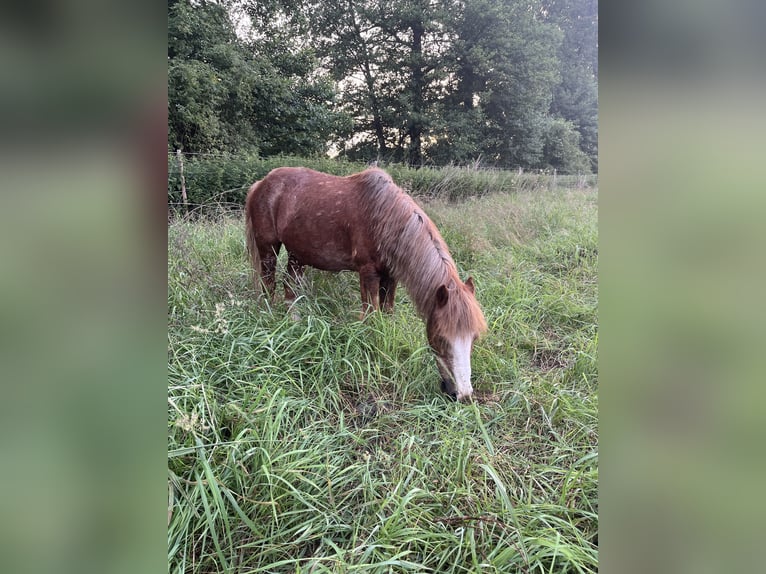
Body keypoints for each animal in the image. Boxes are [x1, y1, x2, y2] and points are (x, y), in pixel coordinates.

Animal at [245, 166, 487, 400]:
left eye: (473, 338)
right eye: (441, 338)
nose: (462, 395)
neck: (384, 218)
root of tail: (261, 184)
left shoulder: (390, 276)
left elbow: (387, 314)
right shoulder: (368, 273)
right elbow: (371, 316)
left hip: (297, 254)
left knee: (291, 287)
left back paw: (295, 324)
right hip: (268, 249)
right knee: (269, 286)